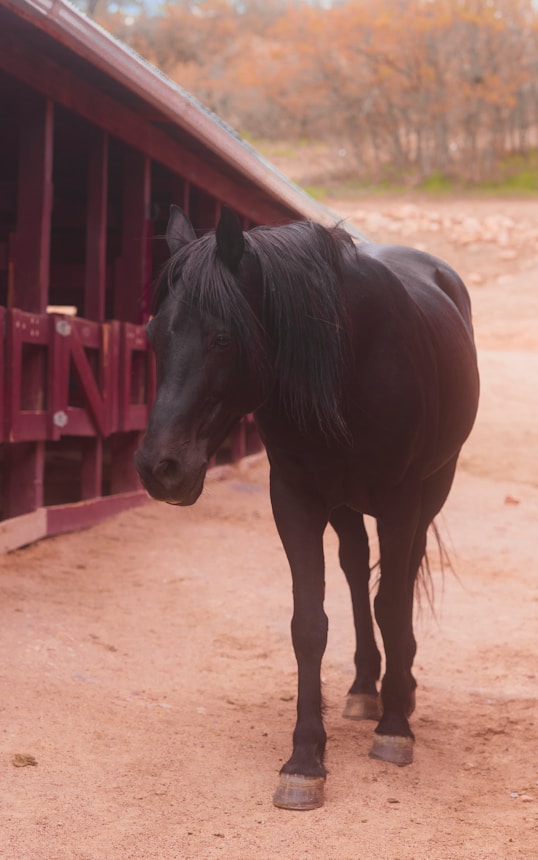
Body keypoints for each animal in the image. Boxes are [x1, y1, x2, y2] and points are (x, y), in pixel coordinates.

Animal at [135, 205, 480, 810]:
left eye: (222, 337)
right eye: (155, 335)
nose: (160, 468)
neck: (353, 363)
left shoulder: (400, 499)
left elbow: (393, 604)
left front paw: (395, 730)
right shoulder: (296, 498)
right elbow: (309, 623)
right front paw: (304, 760)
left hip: (431, 490)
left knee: (401, 576)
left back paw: (401, 692)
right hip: (345, 505)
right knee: (356, 571)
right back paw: (365, 688)